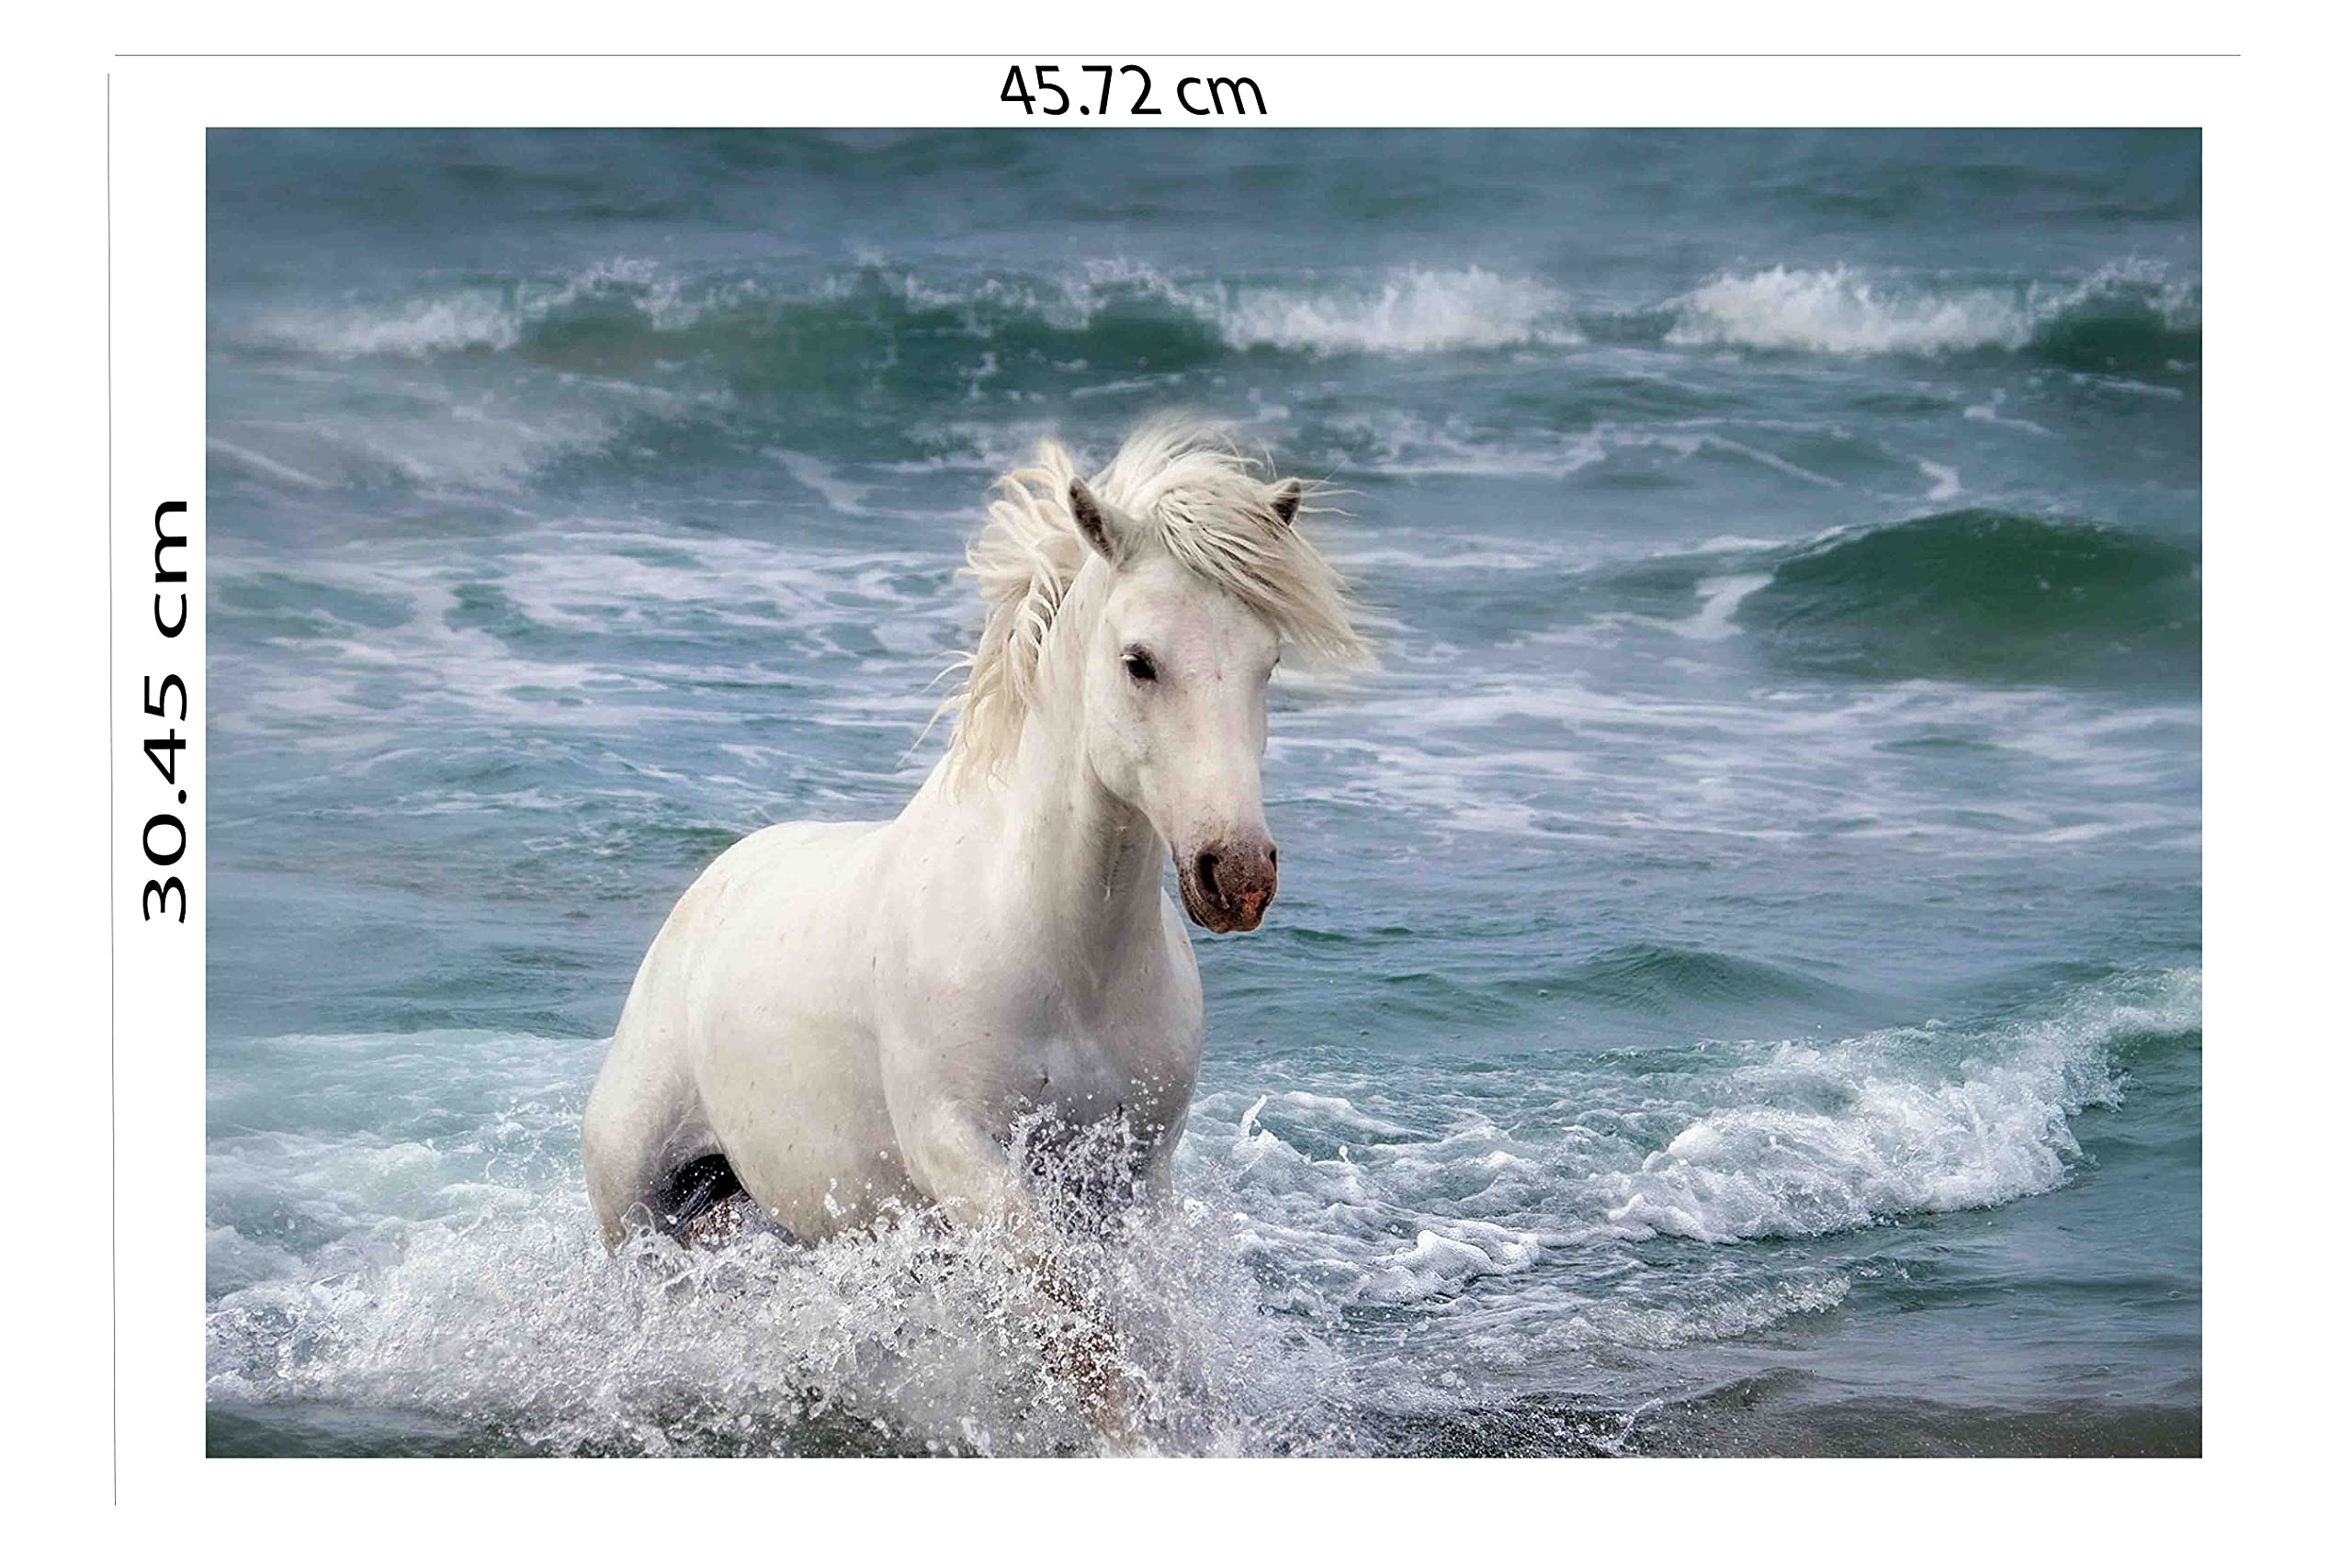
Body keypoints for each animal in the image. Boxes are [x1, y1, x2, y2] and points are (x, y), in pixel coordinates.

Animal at [582, 417, 1366, 1363]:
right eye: (1139, 661)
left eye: (1269, 663)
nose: (1238, 875)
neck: (1062, 951)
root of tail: (706, 892)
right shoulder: (957, 1149)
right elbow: (1070, 1313)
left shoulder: (1135, 1171)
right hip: (632, 1198)